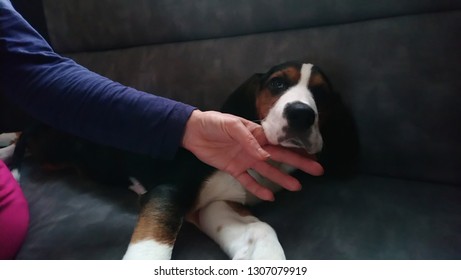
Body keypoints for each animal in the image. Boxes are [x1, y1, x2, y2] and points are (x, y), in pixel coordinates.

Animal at [9, 61, 358, 260]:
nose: (301, 115)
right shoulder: (168, 191)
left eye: (322, 95)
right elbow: (150, 250)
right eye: (277, 83)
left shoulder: (217, 205)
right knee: (26, 141)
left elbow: (261, 230)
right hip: (56, 149)